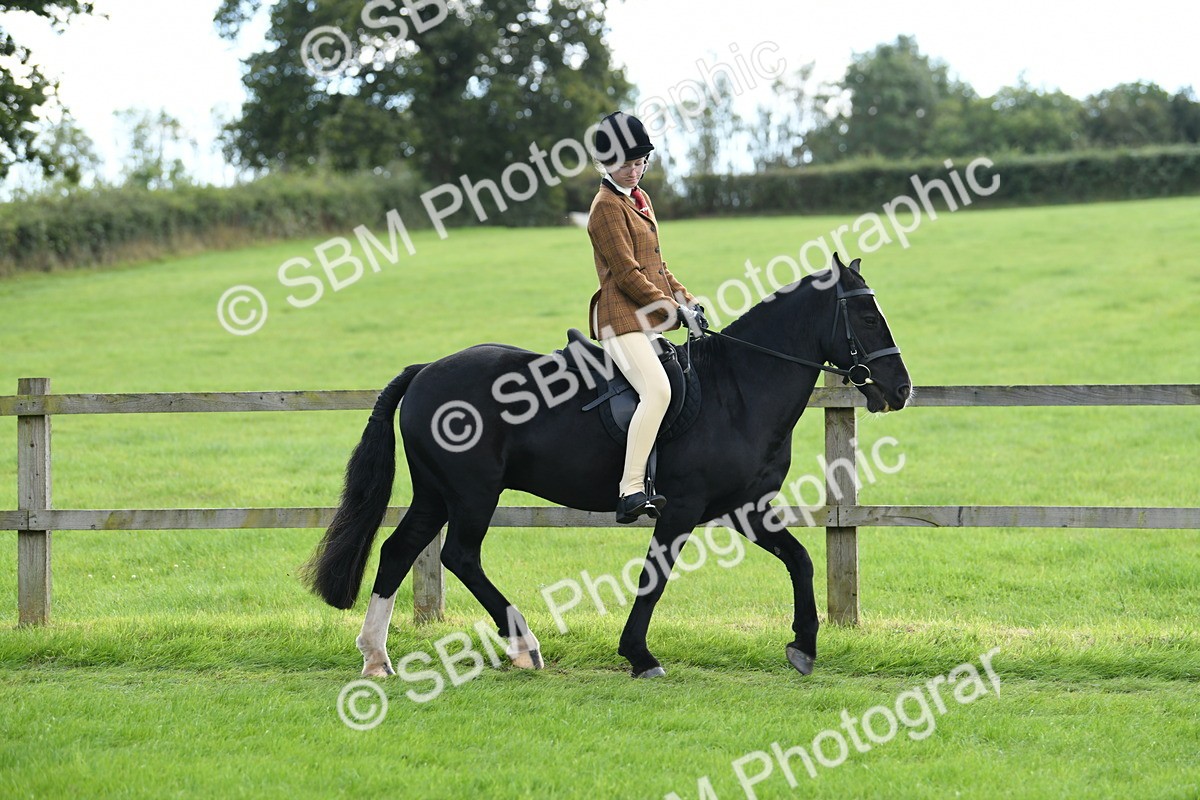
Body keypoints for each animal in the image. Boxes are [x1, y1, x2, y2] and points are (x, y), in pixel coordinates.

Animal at [305, 253, 911, 679]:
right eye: (865, 314)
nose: (901, 390)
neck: (738, 388)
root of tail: (427, 370)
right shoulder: (682, 509)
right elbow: (654, 578)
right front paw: (639, 655)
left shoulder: (744, 508)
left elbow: (801, 561)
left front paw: (803, 646)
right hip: (472, 493)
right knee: (459, 555)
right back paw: (523, 646)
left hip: (437, 494)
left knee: (398, 551)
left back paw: (376, 657)